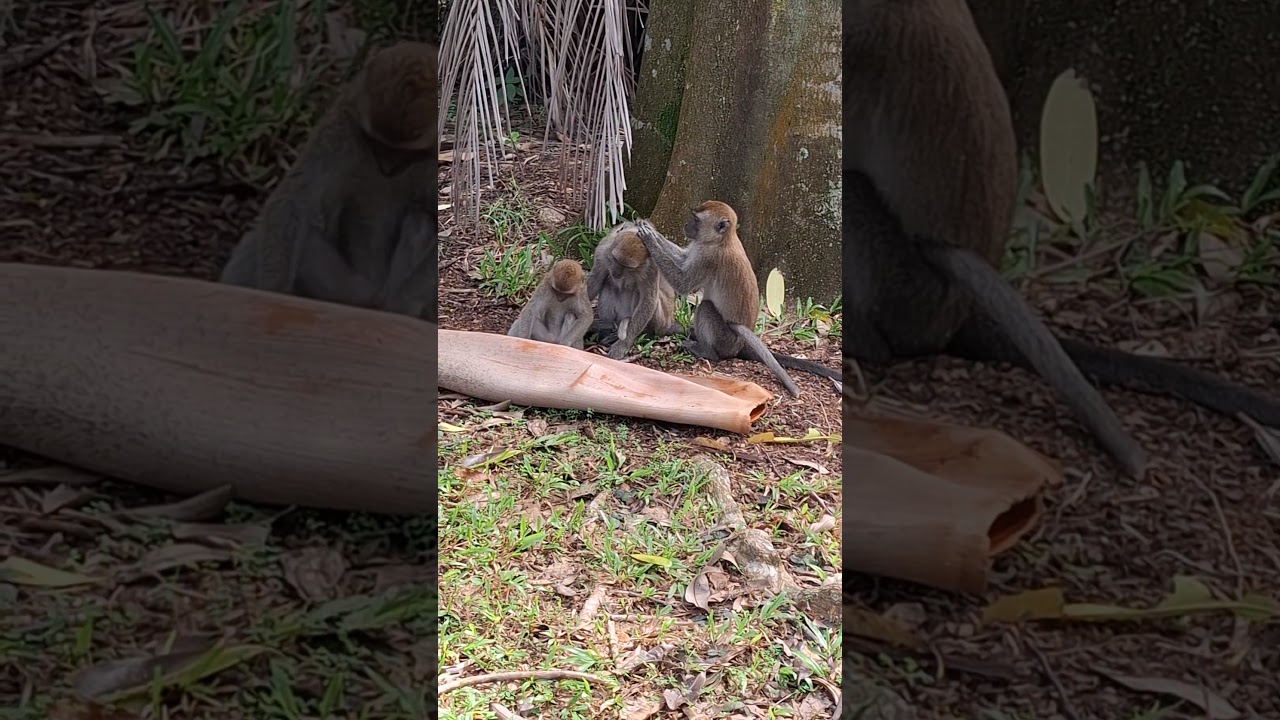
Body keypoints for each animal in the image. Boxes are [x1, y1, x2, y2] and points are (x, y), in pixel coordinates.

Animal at [219, 41, 438, 322]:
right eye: (376, 144)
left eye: (406, 153)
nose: (387, 167)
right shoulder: (342, 123)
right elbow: (293, 200)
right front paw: (273, 294)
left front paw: (402, 302)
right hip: (349, 288)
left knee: (421, 219)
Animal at [586, 222, 681, 359]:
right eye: (615, 259)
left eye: (627, 267)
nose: (616, 272)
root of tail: (670, 322)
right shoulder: (603, 250)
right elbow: (595, 283)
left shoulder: (650, 267)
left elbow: (648, 300)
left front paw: (622, 345)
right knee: (609, 283)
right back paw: (605, 331)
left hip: (661, 322)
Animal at [634, 202, 843, 399]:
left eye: (696, 220)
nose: (686, 225)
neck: (722, 240)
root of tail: (740, 345)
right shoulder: (700, 247)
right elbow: (683, 257)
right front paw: (650, 230)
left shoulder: (708, 258)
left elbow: (684, 284)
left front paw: (650, 240)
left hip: (725, 339)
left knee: (706, 308)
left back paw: (707, 352)